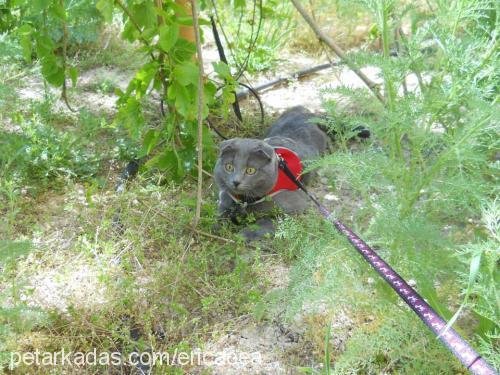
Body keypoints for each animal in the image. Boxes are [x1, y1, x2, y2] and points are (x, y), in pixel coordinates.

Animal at [215, 105, 332, 238]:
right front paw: (216, 226)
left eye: (250, 170)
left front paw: (245, 234)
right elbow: (221, 214)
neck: (244, 201)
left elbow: (271, 220)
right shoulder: (224, 197)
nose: (235, 182)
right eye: (229, 167)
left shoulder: (296, 205)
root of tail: (307, 113)